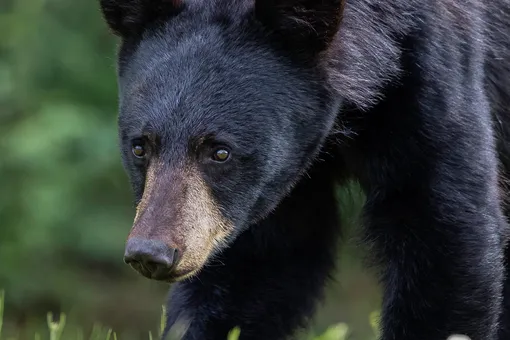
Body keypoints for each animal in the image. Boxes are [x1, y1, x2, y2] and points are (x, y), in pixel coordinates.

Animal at [97, 0, 510, 338]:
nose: (151, 253)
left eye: (220, 152)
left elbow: (443, 232)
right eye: (140, 147)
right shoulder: (263, 189)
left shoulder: (430, 74)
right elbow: (256, 265)